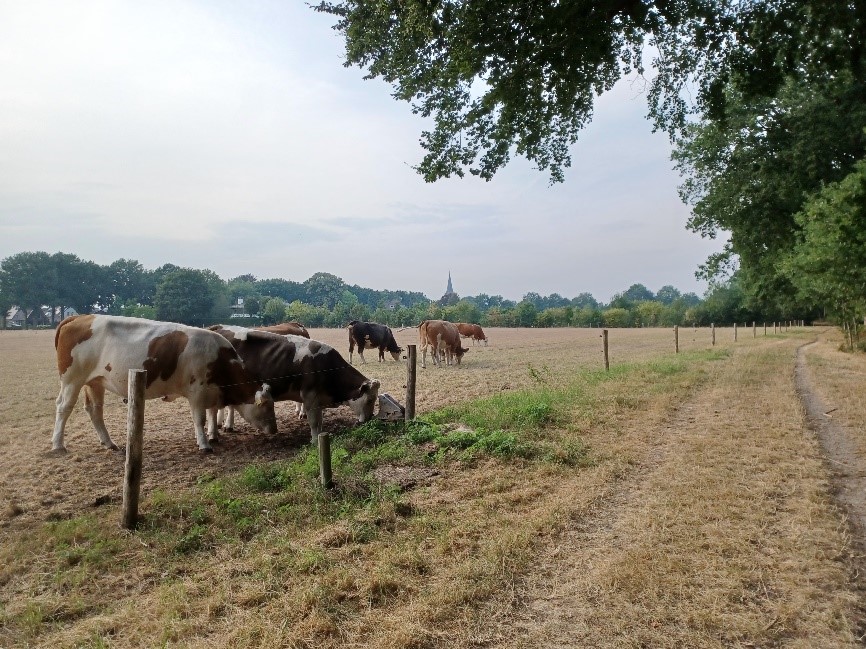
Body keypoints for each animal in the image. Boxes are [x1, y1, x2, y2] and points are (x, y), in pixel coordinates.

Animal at [52, 314, 276, 450]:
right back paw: (58, 445)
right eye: (265, 406)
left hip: (95, 382)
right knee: (63, 407)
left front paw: (214, 436)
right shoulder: (197, 392)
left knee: (95, 410)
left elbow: (212, 415)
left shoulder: (213, 391)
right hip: (72, 380)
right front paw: (204, 444)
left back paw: (108, 443)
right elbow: (200, 419)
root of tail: (80, 317)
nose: (274, 430)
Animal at [208, 322, 380, 442]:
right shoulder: (310, 396)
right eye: (370, 399)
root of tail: (218, 328)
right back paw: (214, 434)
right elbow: (314, 421)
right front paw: (315, 441)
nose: (371, 418)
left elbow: (319, 421)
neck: (326, 366)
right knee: (213, 409)